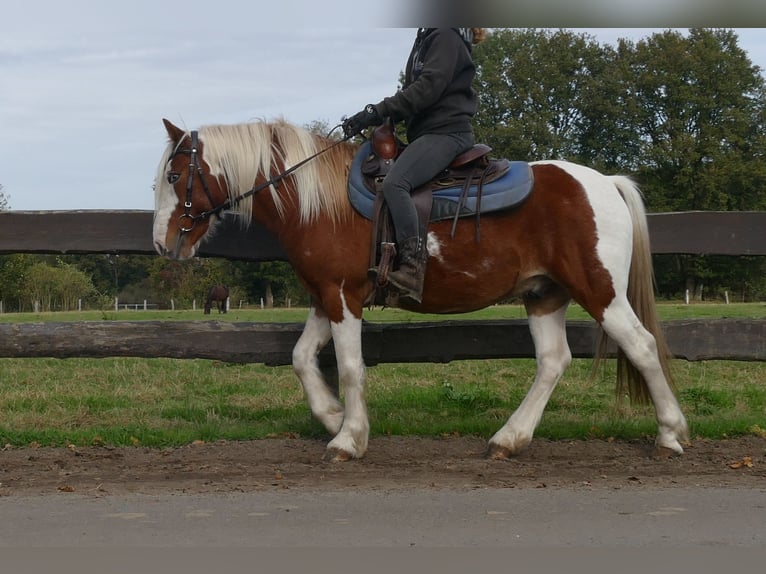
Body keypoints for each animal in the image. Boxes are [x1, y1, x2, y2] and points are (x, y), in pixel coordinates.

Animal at [152, 118, 688, 464]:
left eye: (175, 176)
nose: (162, 242)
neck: (318, 201)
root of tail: (605, 183)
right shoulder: (326, 297)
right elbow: (302, 358)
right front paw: (332, 416)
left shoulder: (343, 297)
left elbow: (350, 367)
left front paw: (348, 439)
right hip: (544, 294)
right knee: (553, 362)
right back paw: (509, 439)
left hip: (600, 292)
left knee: (642, 346)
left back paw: (670, 433)